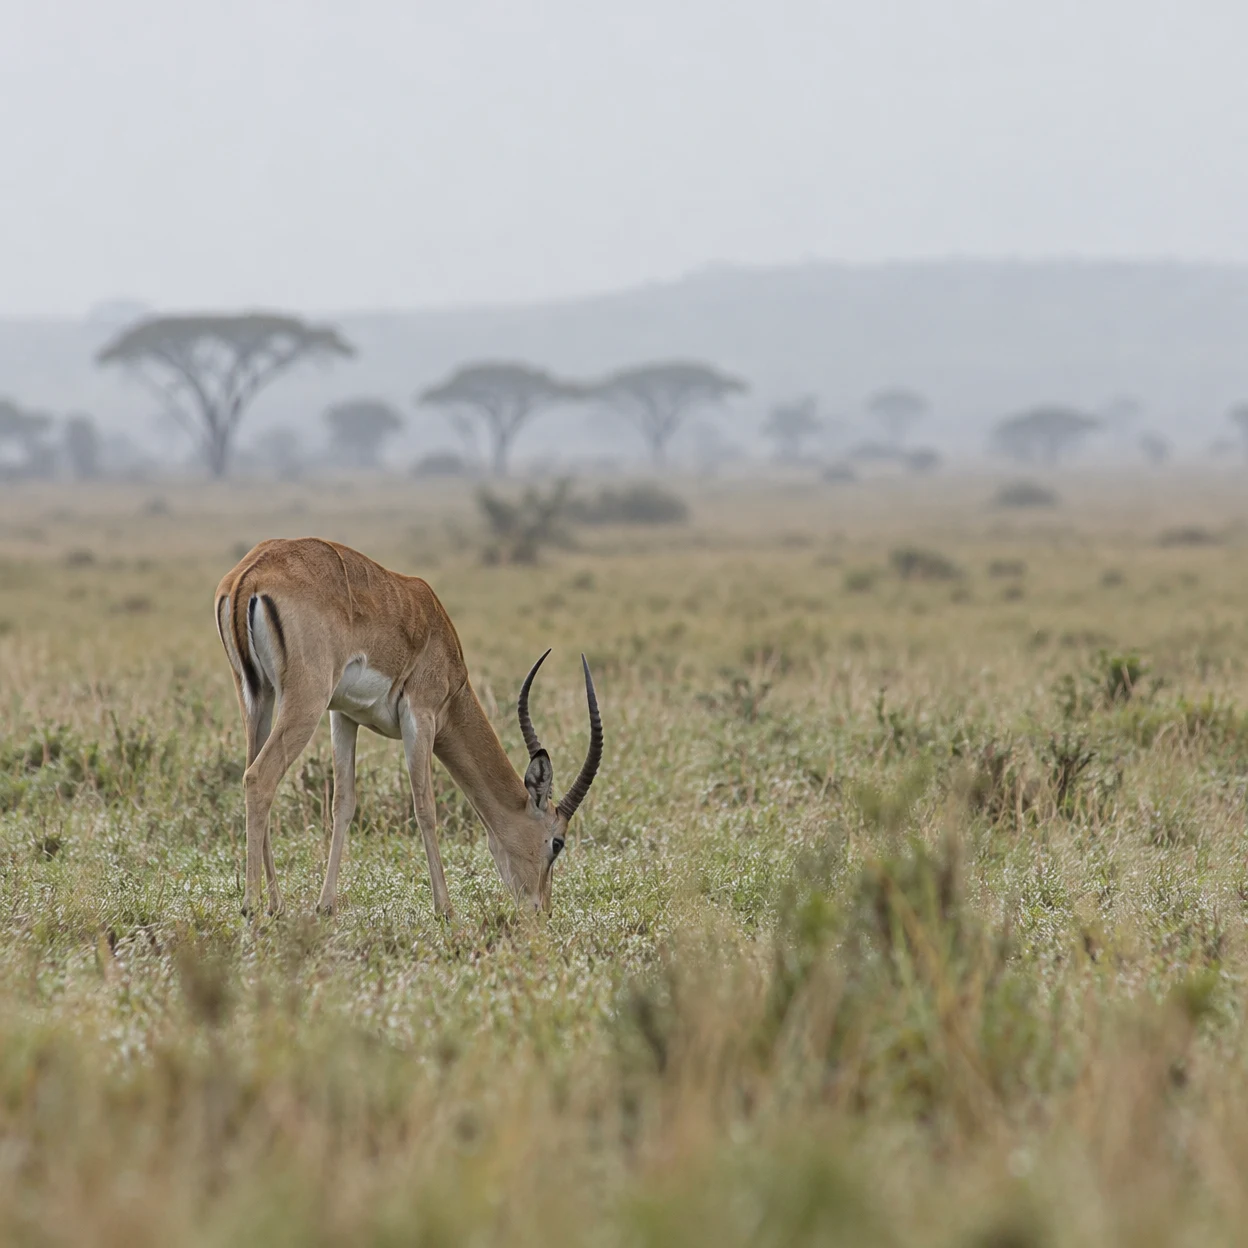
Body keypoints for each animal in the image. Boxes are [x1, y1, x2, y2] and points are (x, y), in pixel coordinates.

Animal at [213, 537, 602, 919]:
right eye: (557, 842)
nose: (542, 909)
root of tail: (249, 575)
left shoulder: (343, 716)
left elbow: (343, 803)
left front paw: (325, 905)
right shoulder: (421, 716)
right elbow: (425, 807)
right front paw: (445, 909)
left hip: (257, 698)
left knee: (253, 772)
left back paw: (277, 905)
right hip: (304, 702)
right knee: (260, 777)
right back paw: (251, 906)